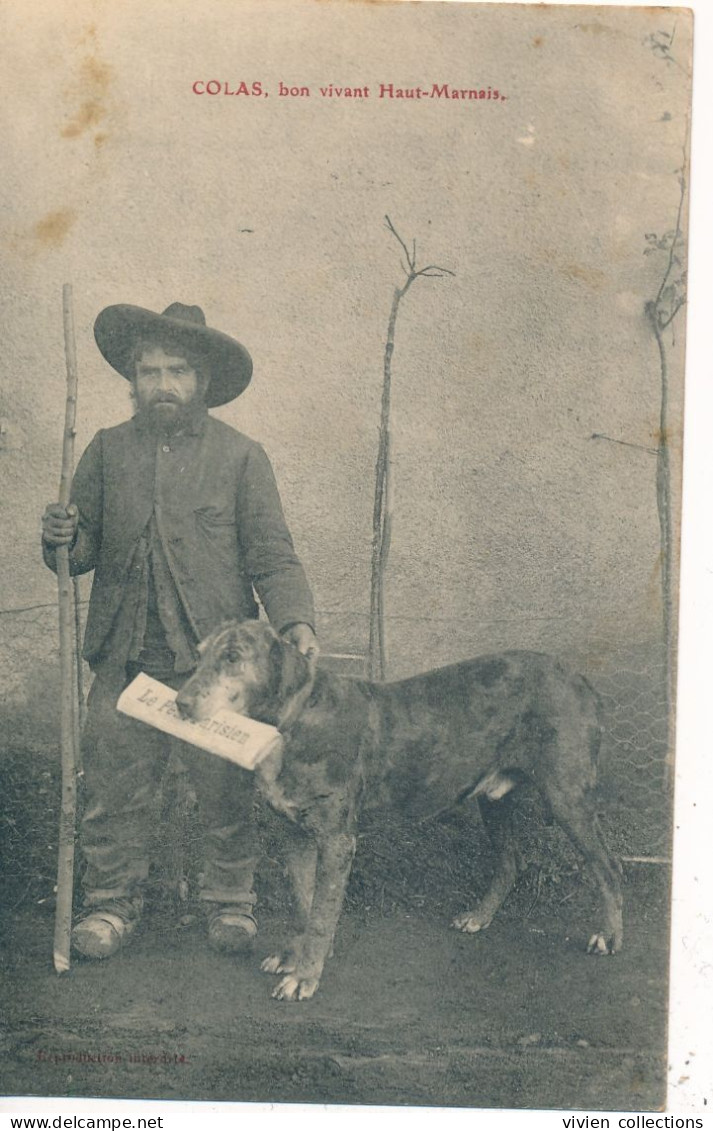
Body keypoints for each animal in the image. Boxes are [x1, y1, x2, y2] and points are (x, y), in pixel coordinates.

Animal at [176, 624, 624, 1004]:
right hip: (495, 801)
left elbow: (321, 914)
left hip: (568, 798)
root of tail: (578, 678)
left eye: (233, 656)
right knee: (511, 862)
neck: (294, 719)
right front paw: (294, 956)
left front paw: (305, 977)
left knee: (608, 868)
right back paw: (478, 917)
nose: (180, 702)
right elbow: (304, 904)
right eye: (199, 653)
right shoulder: (297, 836)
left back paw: (609, 936)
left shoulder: (337, 841)